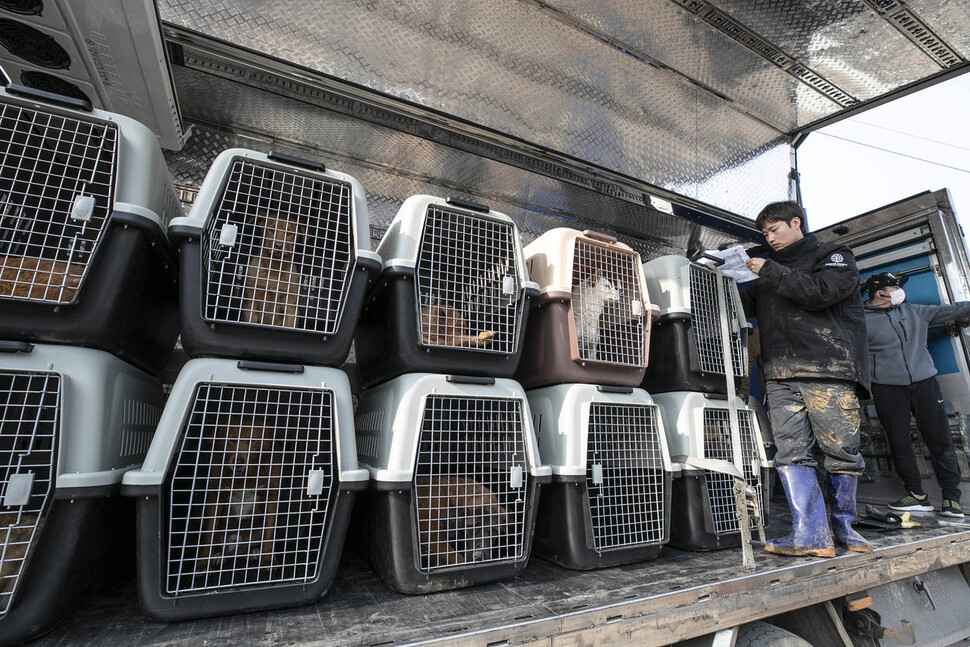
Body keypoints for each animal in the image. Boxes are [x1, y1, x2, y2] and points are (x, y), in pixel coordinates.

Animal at [194, 418, 282, 576]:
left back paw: (253, 552)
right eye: (231, 440)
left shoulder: (272, 496)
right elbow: (208, 534)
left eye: (253, 440)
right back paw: (218, 555)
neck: (244, 478)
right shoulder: (215, 497)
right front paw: (203, 563)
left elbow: (269, 533)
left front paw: (267, 559)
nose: (238, 461)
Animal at [202, 161, 354, 334]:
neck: (274, 270)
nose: (279, 245)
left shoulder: (290, 308)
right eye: (271, 229)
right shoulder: (251, 303)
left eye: (290, 233)